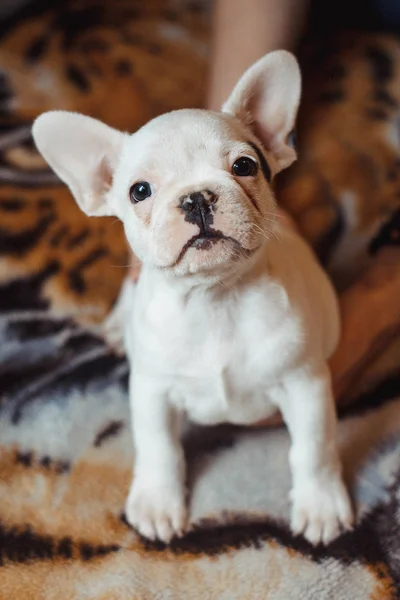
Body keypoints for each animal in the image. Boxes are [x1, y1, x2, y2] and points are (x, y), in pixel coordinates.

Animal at [34, 51, 354, 548]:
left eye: (244, 166)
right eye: (139, 191)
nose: (197, 198)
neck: (214, 299)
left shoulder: (306, 386)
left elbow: (313, 449)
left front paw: (320, 504)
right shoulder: (151, 390)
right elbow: (159, 448)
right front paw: (157, 504)